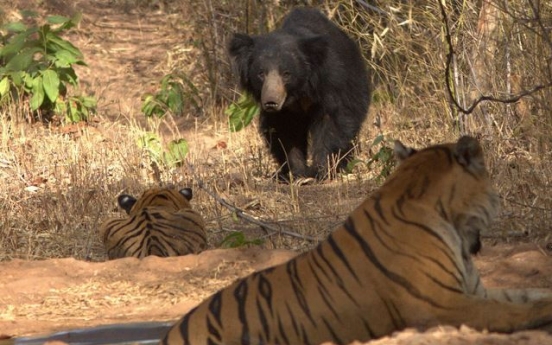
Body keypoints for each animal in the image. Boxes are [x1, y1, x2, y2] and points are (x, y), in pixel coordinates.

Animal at [229, 6, 370, 180]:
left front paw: (320, 171)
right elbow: (285, 132)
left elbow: (332, 122)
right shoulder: (285, 112)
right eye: (261, 73)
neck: (298, 93)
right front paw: (297, 173)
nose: (271, 102)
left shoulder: (331, 84)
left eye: (286, 74)